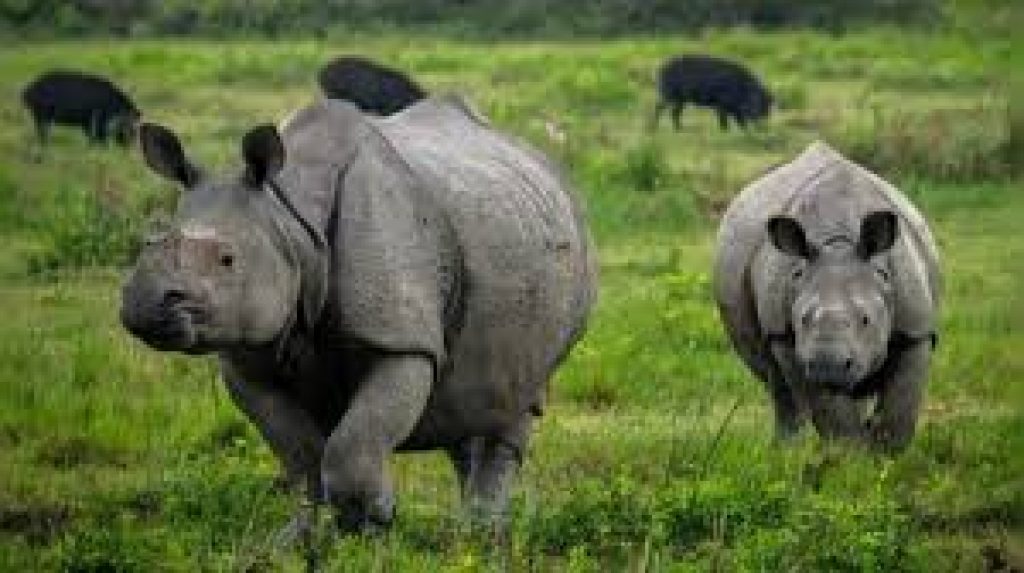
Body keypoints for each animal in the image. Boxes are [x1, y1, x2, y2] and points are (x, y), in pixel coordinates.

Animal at [120, 95, 596, 532]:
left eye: (227, 259)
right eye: (148, 244)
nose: (144, 306)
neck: (289, 220)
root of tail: (547, 164)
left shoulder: (401, 340)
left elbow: (351, 447)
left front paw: (371, 523)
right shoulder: (248, 353)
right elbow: (300, 457)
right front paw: (299, 542)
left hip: (570, 259)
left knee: (520, 395)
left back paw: (481, 536)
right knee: (466, 402)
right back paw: (468, 534)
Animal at [713, 142, 940, 451]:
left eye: (866, 320)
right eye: (802, 320)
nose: (827, 365)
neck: (838, 244)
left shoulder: (916, 331)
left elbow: (899, 409)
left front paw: (886, 456)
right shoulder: (785, 336)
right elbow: (833, 417)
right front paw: (850, 458)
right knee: (781, 387)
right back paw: (786, 451)